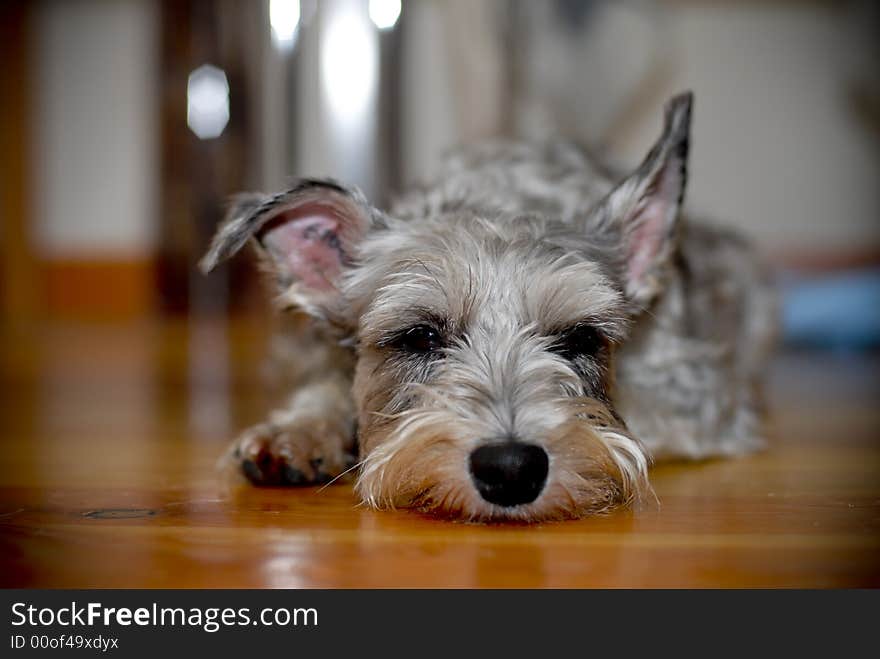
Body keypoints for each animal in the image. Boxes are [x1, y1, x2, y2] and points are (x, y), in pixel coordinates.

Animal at [201, 93, 776, 524]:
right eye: (420, 336)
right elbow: (329, 385)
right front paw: (298, 432)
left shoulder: (695, 395)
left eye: (582, 339)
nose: (511, 469)